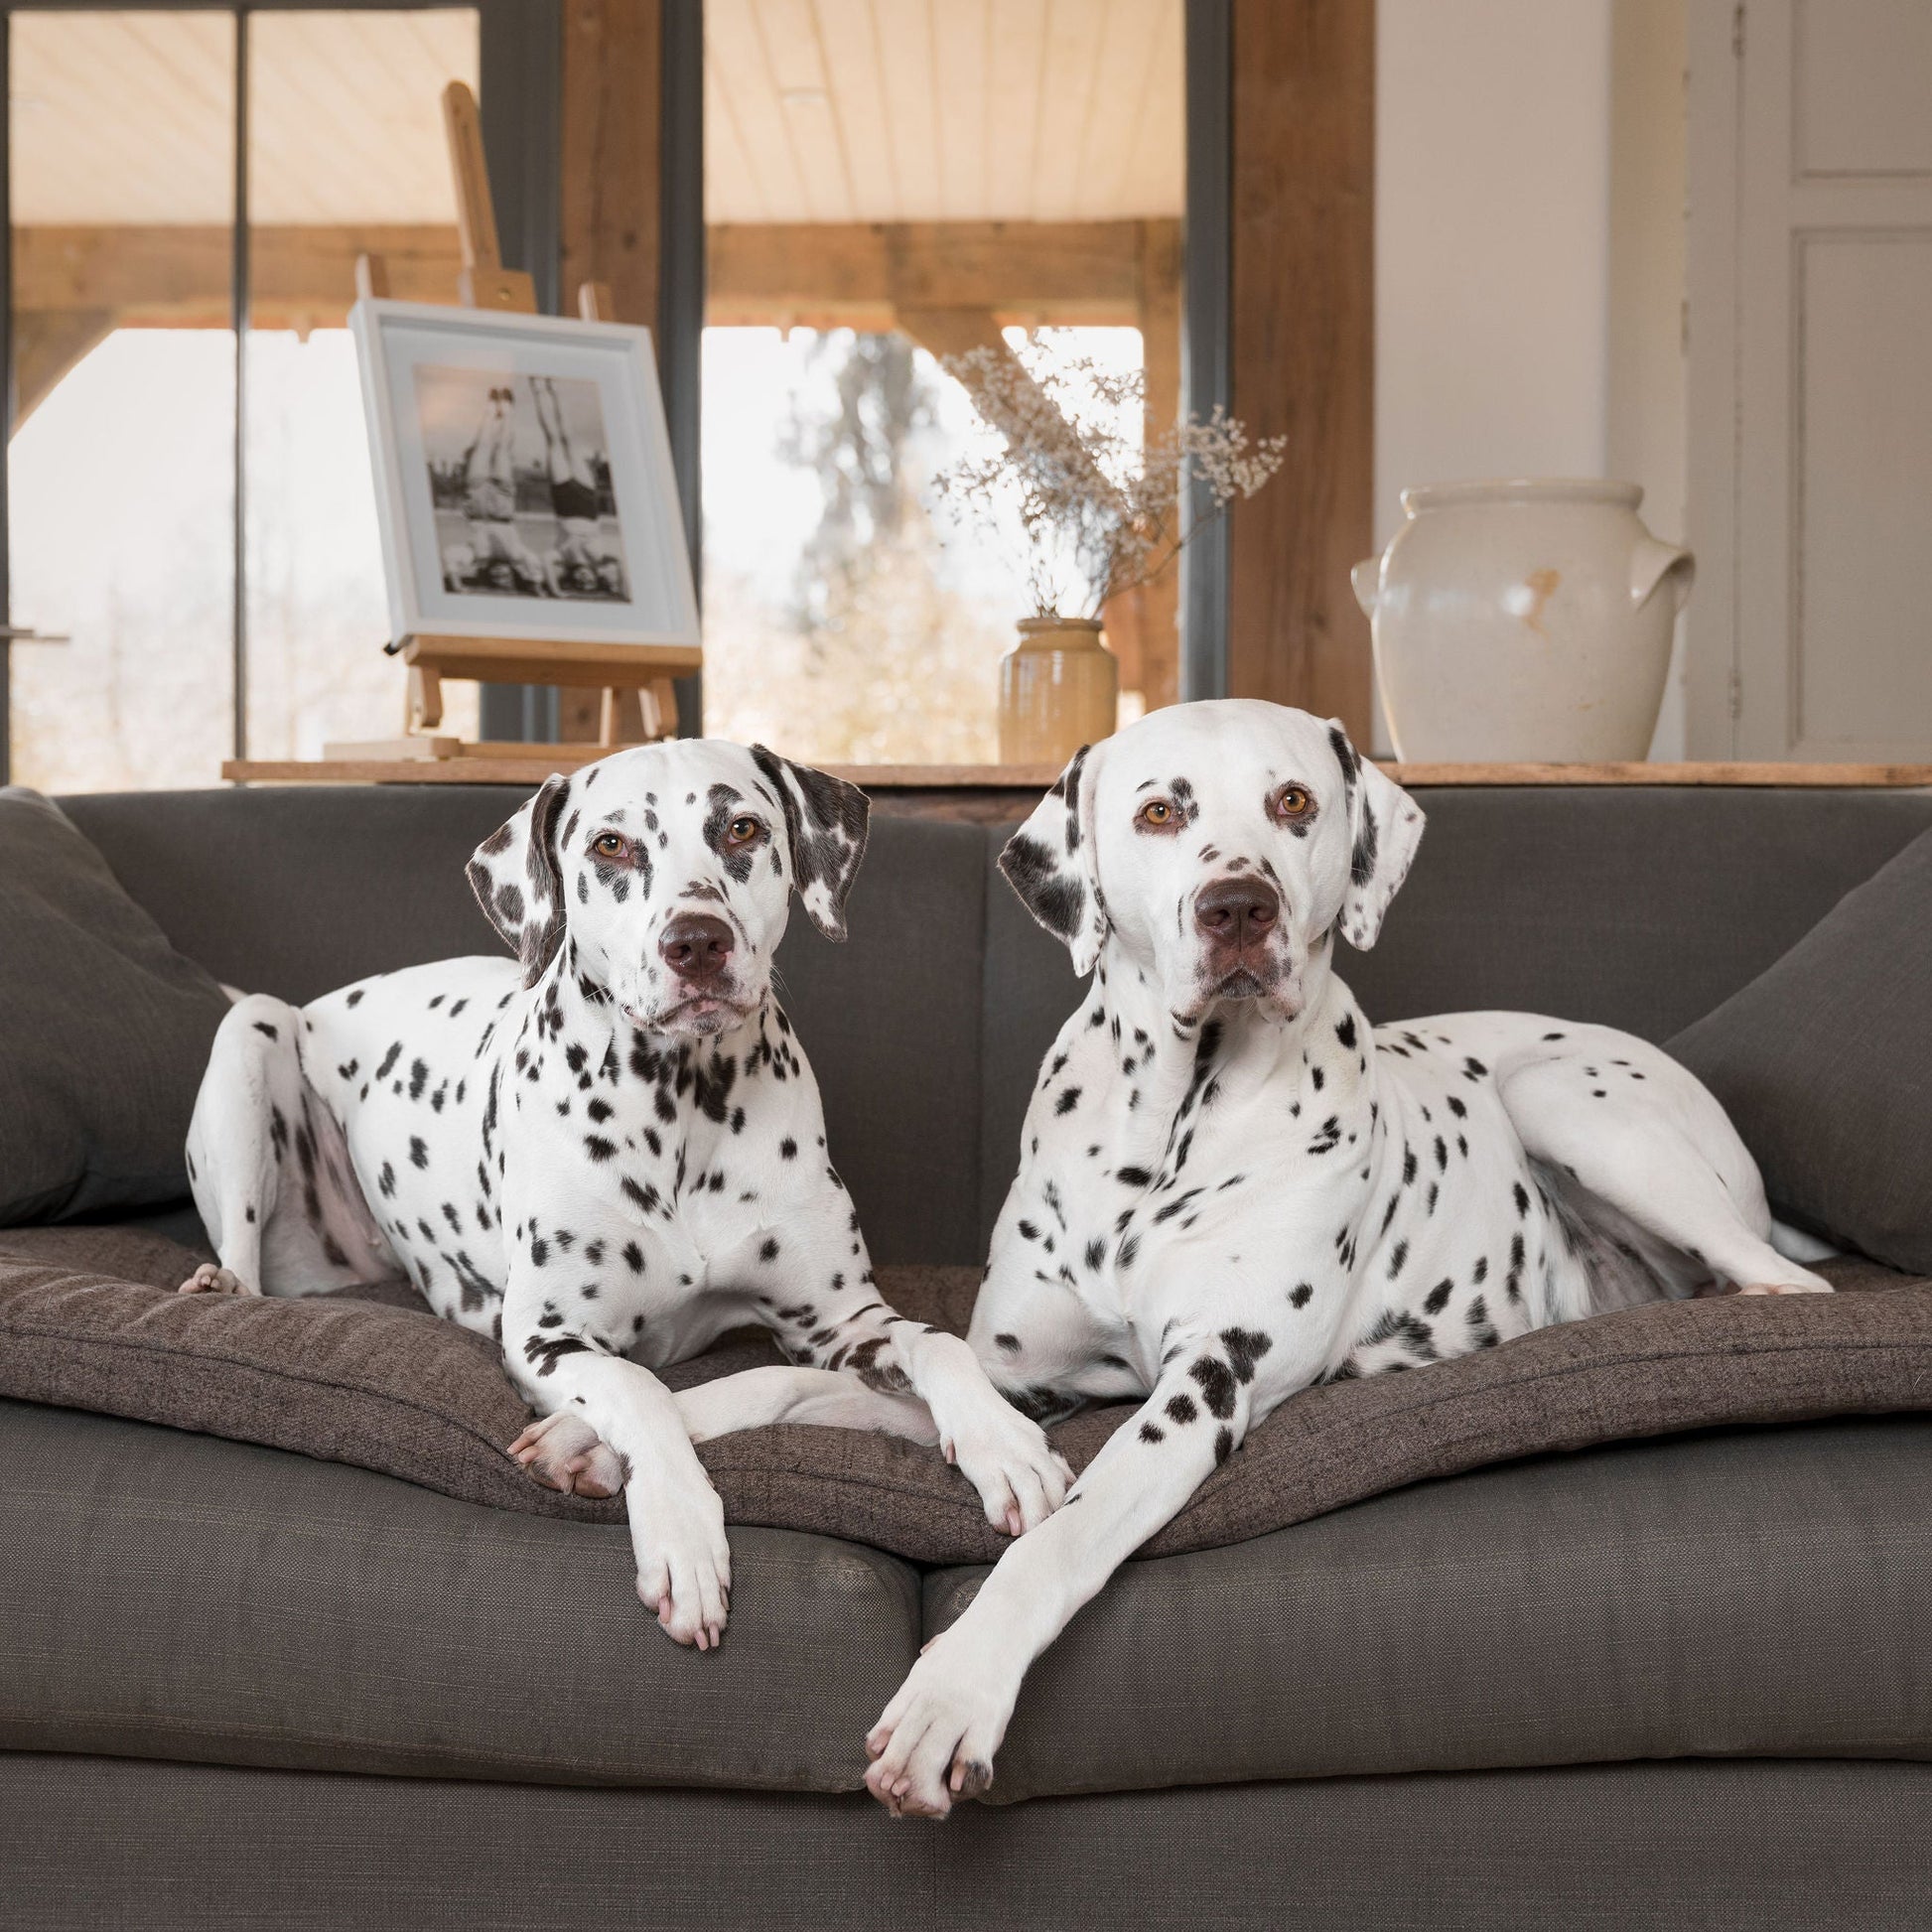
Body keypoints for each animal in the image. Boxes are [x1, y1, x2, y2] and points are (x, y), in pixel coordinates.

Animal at [181, 738, 1073, 1645]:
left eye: (742, 828)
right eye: (610, 845)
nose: (697, 942)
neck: (682, 1107)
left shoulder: (842, 1323)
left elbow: (937, 1342)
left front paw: (1004, 1443)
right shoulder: (547, 1339)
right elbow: (643, 1391)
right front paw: (680, 1534)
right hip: (252, 1030)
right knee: (242, 1243)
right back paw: (221, 1282)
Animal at [858, 703, 1824, 1816]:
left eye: (1292, 802)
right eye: (1158, 812)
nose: (1238, 906)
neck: (1169, 1124)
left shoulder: (1204, 1389)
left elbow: (1060, 1539)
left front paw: (950, 1696)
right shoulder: (1021, 1369)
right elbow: (923, 1363)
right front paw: (998, 1451)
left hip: (1561, 1098)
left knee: (1787, 1285)